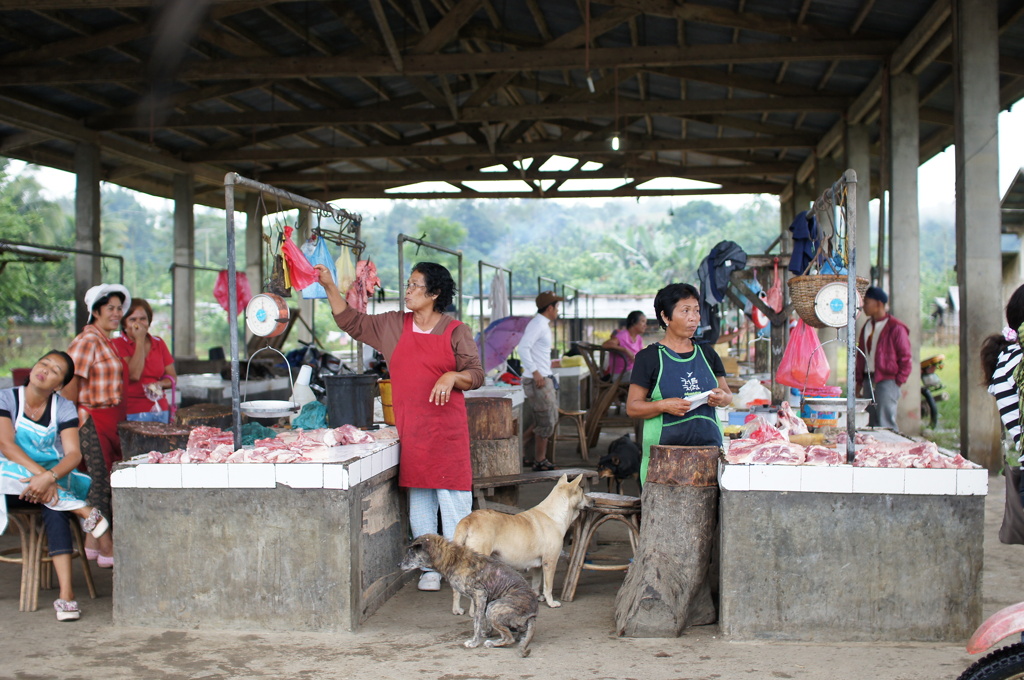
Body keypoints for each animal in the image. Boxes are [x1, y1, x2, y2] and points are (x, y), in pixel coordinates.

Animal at [399, 532, 540, 655]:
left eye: (411, 553)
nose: (398, 564)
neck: (452, 559)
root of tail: (532, 615)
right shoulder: (486, 599)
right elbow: (484, 621)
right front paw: (487, 633)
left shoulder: (480, 595)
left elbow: (476, 622)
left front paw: (474, 642)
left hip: (494, 607)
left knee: (509, 638)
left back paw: (493, 643)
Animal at [452, 471, 589, 614]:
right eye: (582, 492)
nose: (592, 500)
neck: (554, 513)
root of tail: (469, 519)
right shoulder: (550, 562)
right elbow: (548, 586)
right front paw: (551, 602)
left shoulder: (538, 565)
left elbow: (536, 582)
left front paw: (537, 597)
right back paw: (474, 612)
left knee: (456, 589)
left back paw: (457, 609)